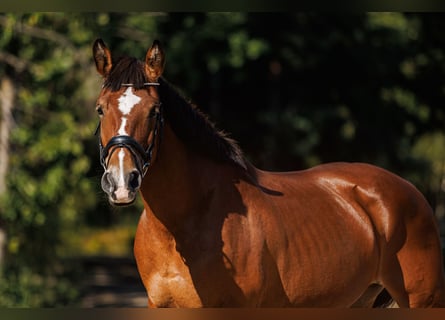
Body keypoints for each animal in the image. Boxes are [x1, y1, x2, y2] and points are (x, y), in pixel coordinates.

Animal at [91, 39, 444, 308]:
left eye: (155, 111)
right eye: (100, 109)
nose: (122, 182)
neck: (183, 225)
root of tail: (409, 192)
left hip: (423, 300)